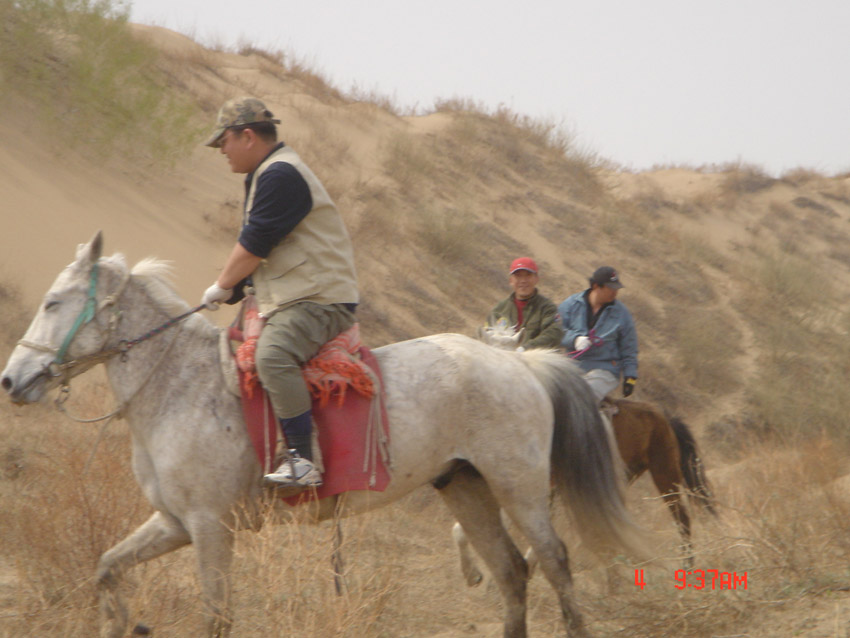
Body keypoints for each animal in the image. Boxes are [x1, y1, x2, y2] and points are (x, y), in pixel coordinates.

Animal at [3, 232, 644, 636]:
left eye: (54, 302)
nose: (12, 379)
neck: (179, 383)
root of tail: (521, 363)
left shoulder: (210, 528)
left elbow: (217, 616)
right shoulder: (174, 524)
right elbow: (108, 567)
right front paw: (117, 621)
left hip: (519, 488)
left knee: (554, 561)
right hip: (465, 486)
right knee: (512, 572)